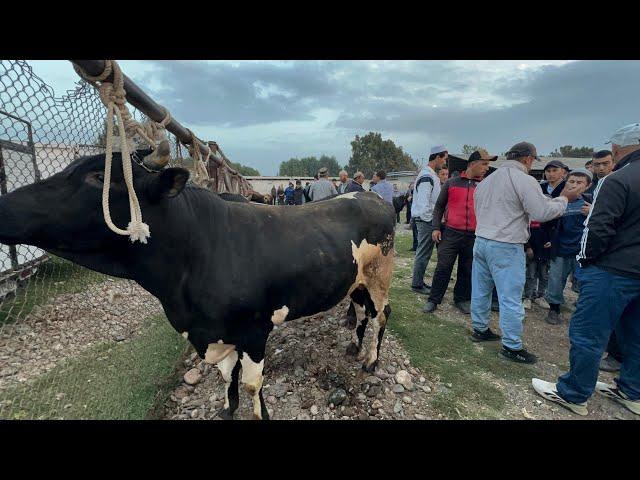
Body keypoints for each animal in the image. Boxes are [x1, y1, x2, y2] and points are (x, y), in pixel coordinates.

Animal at [0, 152, 396, 418]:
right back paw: (353, 346)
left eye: (98, 177)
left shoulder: (255, 330)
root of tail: (368, 194)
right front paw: (227, 409)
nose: (4, 206)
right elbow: (226, 376)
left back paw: (371, 360)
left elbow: (251, 382)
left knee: (381, 314)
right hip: (356, 279)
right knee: (361, 309)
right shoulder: (216, 331)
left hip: (381, 275)